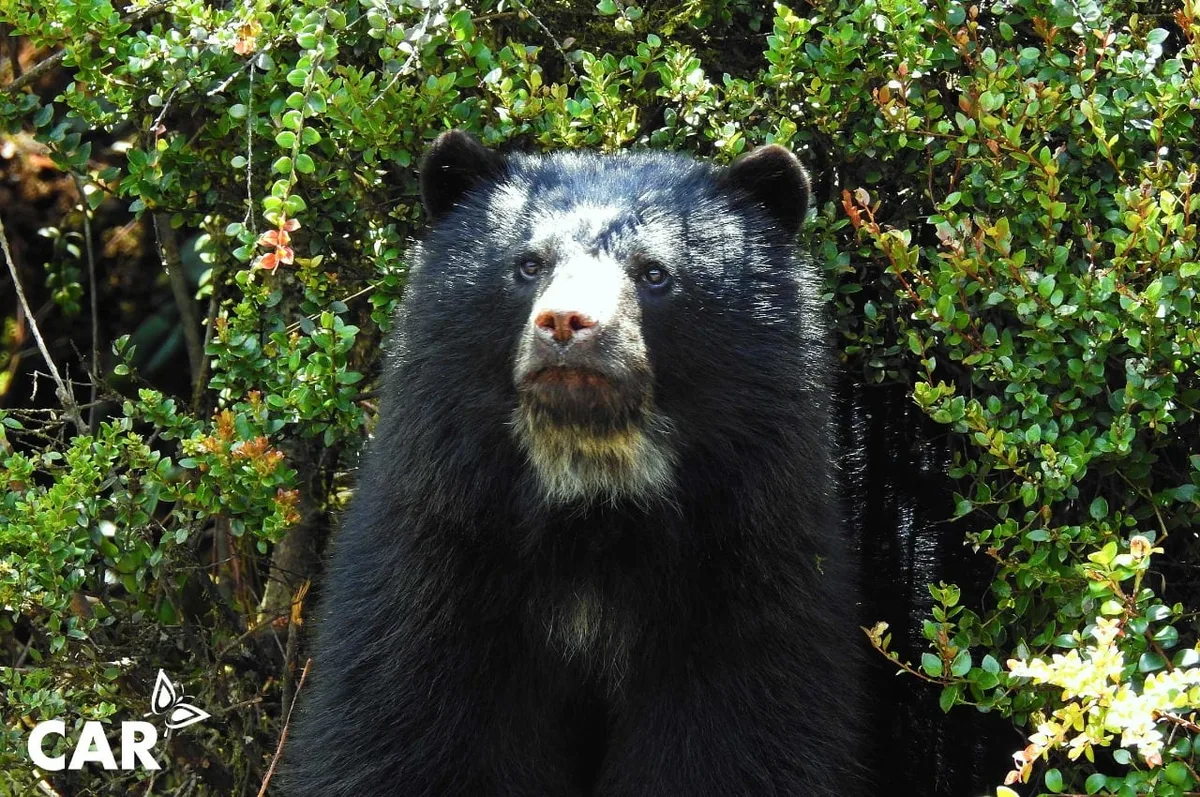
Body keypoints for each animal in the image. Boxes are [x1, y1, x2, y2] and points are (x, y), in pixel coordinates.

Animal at [280, 130, 864, 796]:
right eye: (529, 264)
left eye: (655, 273)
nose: (565, 323)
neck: (590, 485)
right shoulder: (435, 559)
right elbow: (398, 721)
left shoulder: (752, 562)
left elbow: (742, 735)